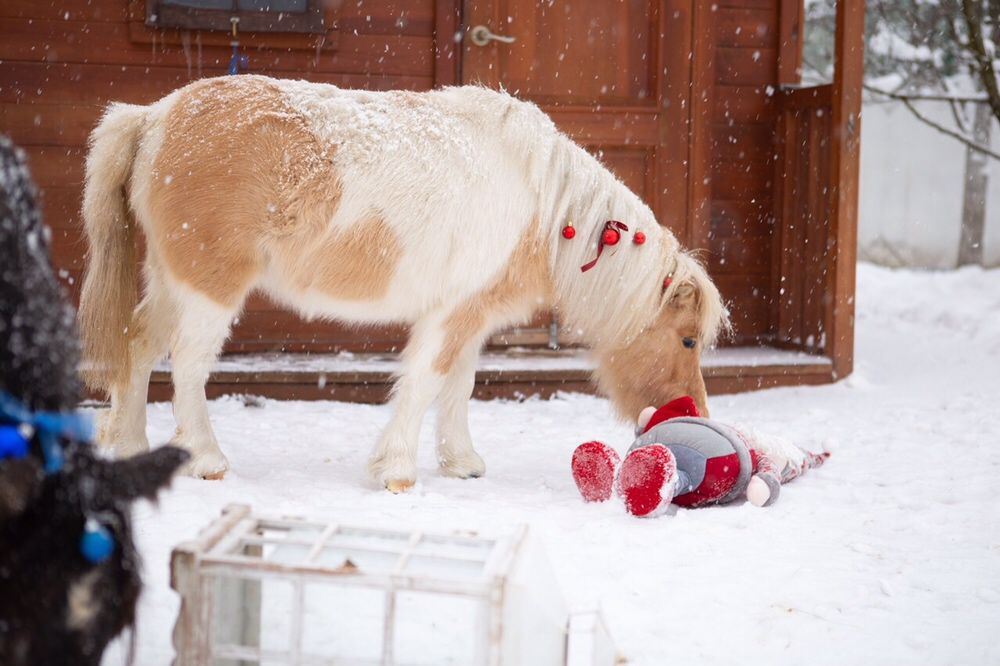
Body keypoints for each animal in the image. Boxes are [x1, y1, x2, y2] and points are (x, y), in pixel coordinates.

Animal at [78, 75, 724, 490]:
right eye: (688, 340)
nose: (692, 411)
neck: (538, 199)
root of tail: (154, 117)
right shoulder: (448, 317)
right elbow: (423, 382)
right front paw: (397, 472)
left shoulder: (470, 316)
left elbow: (458, 385)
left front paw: (461, 463)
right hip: (209, 291)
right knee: (187, 363)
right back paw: (207, 459)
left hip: (169, 282)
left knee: (138, 345)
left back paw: (132, 445)